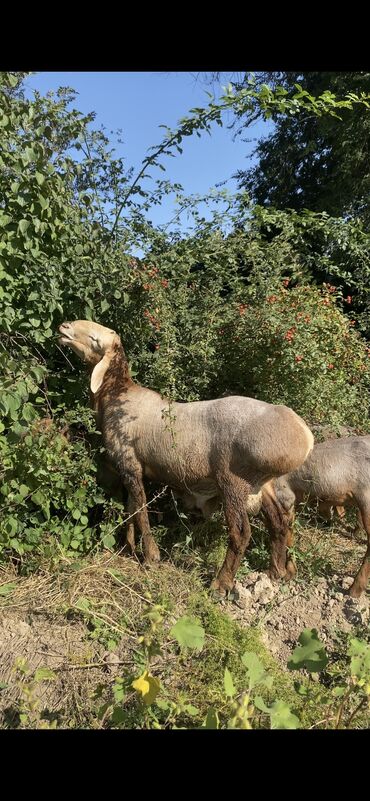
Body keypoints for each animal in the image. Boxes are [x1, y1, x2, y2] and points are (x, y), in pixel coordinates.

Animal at [59, 318, 314, 592]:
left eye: (95, 339)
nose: (64, 327)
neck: (116, 395)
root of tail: (304, 436)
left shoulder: (129, 463)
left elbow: (140, 512)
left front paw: (150, 557)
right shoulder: (131, 468)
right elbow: (131, 509)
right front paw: (128, 547)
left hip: (233, 481)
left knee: (241, 532)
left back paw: (221, 583)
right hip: (262, 484)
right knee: (278, 523)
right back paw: (277, 572)